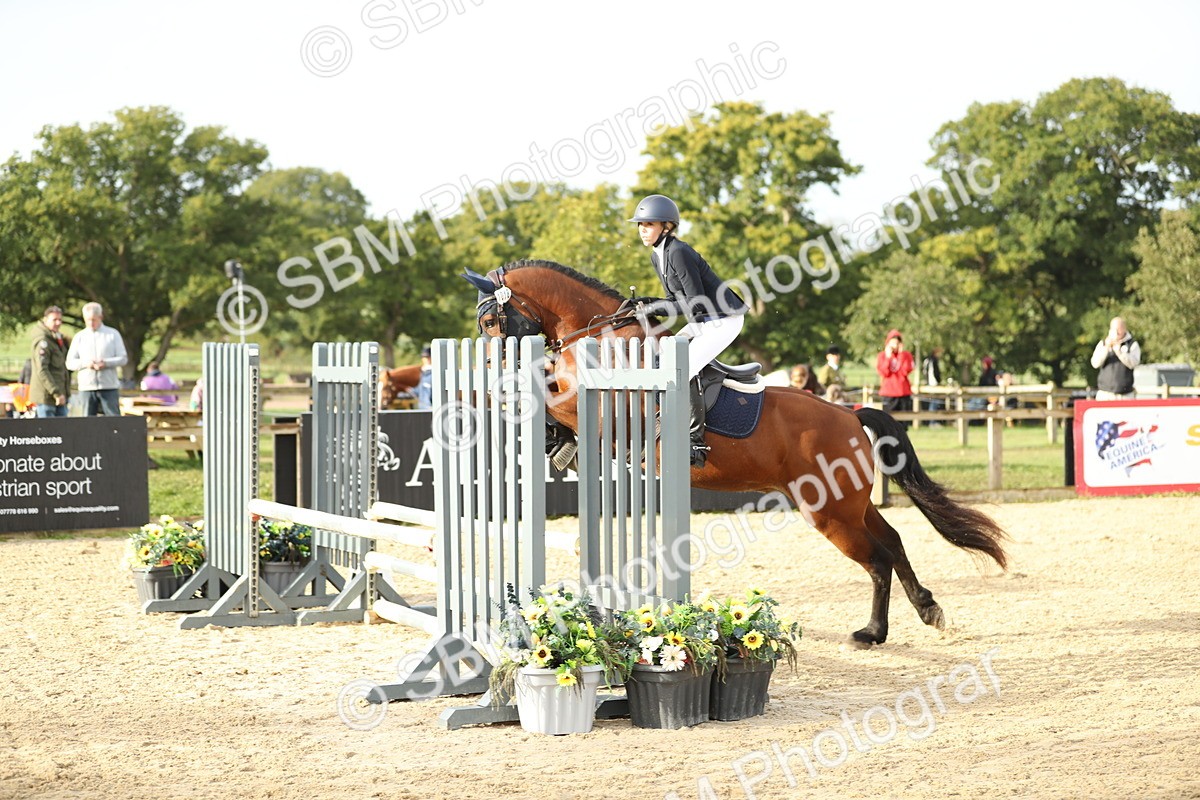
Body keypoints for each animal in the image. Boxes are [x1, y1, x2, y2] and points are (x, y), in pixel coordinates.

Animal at [463, 259, 1008, 647]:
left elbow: (548, 399)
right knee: (892, 542)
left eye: (491, 321)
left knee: (876, 558)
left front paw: (553, 440)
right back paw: (923, 612)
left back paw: (873, 632)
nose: (485, 371)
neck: (599, 337)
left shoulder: (600, 409)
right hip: (848, 502)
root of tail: (850, 414)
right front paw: (558, 446)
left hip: (829, 512)